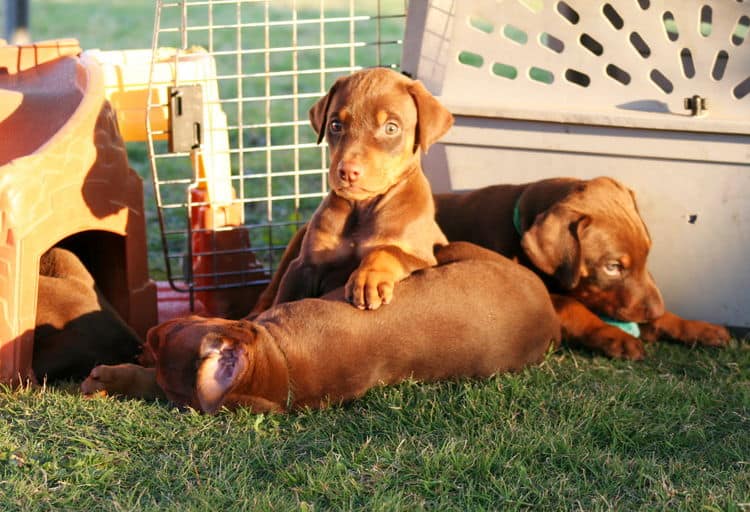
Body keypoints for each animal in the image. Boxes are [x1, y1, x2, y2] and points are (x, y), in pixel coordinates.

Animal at [274, 66, 456, 310]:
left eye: (391, 128)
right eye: (335, 125)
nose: (348, 171)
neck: (362, 208)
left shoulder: (422, 256)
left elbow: (387, 250)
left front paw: (368, 278)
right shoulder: (304, 265)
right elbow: (283, 299)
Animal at [434, 176, 736, 360]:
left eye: (648, 253)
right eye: (612, 267)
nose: (656, 310)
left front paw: (697, 327)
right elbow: (573, 307)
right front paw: (614, 336)